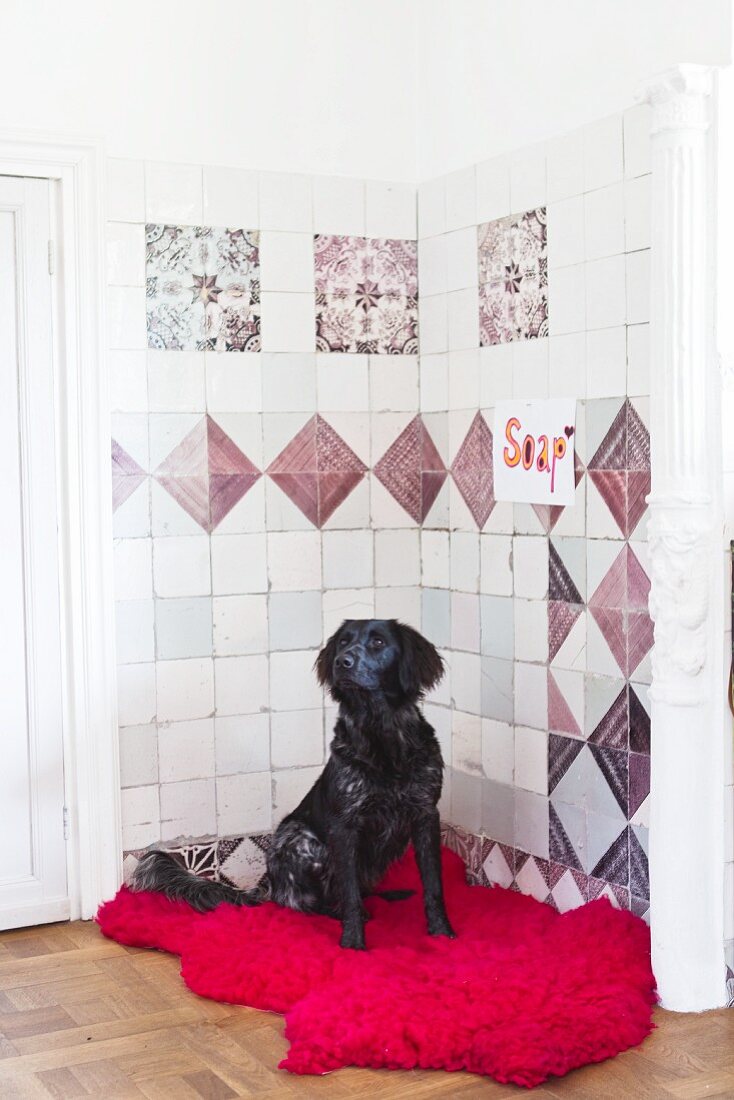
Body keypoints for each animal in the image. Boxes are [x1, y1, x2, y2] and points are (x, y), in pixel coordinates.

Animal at [132, 624, 453, 950]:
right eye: (343, 642)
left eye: (378, 642)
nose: (342, 662)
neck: (383, 740)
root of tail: (269, 886)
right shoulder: (345, 827)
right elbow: (349, 892)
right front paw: (353, 942)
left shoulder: (427, 815)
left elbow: (434, 885)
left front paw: (442, 934)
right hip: (302, 840)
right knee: (310, 902)